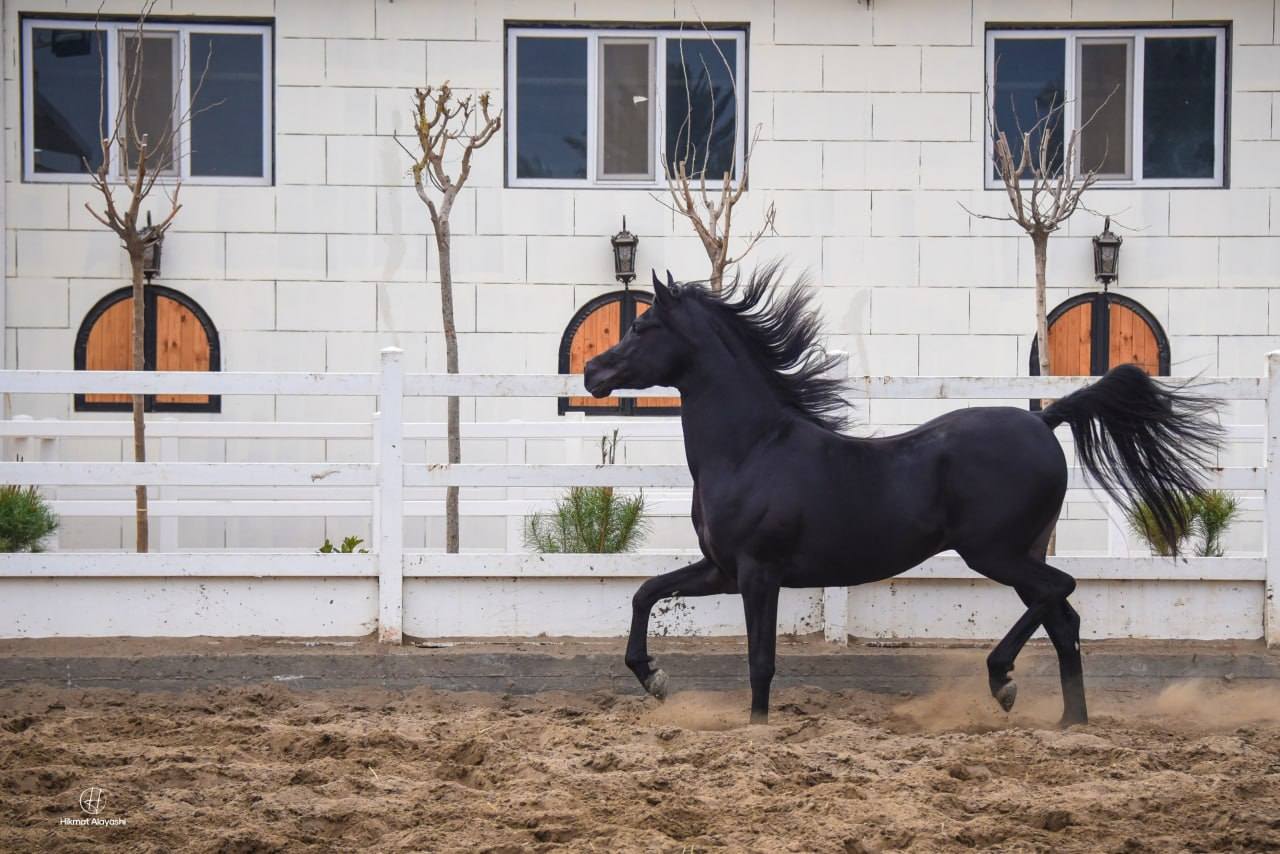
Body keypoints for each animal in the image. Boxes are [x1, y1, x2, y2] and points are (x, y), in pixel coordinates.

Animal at [584, 265, 1222, 727]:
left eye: (642, 328)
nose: (592, 372)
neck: (751, 450)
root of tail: (1044, 420)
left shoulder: (757, 573)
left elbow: (760, 661)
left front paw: (756, 728)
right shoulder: (721, 569)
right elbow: (645, 593)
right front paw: (653, 678)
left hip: (995, 553)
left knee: (1059, 592)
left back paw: (1003, 681)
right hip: (1022, 554)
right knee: (1063, 618)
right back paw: (1070, 722)